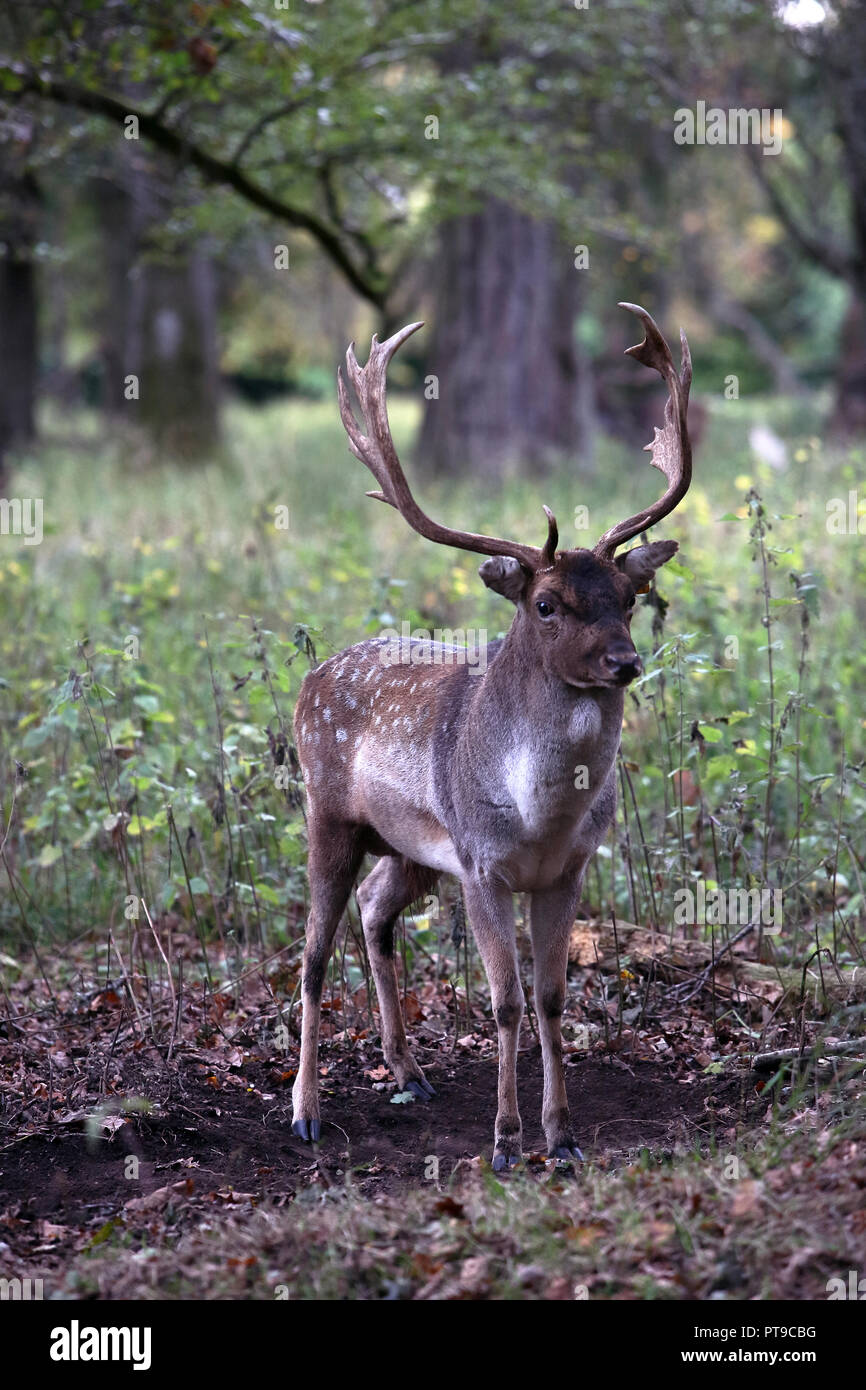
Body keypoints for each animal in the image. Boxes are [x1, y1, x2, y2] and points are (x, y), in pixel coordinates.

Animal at [289, 298, 692, 1167]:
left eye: (629, 598)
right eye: (546, 604)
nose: (624, 662)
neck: (540, 820)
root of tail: (308, 680)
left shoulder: (569, 868)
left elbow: (552, 995)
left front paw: (562, 1133)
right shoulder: (480, 863)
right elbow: (504, 1001)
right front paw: (506, 1141)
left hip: (408, 847)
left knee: (375, 911)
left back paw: (407, 1069)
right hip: (328, 813)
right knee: (309, 956)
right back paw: (304, 1110)